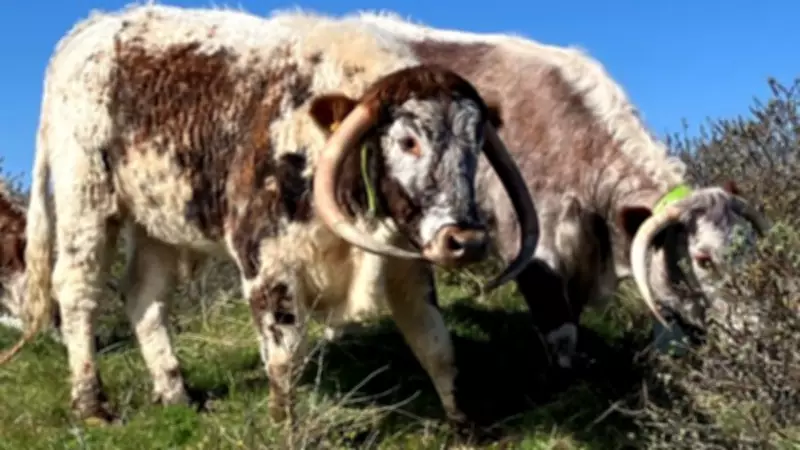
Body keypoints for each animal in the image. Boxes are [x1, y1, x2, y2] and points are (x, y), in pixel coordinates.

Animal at [0, 5, 539, 426]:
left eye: (475, 143)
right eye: (408, 140)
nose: (466, 241)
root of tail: (92, 26)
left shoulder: (407, 265)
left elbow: (435, 343)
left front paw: (464, 424)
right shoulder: (267, 265)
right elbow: (284, 356)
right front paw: (286, 425)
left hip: (157, 223)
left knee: (145, 298)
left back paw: (175, 393)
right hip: (87, 201)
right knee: (78, 292)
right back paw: (92, 404)